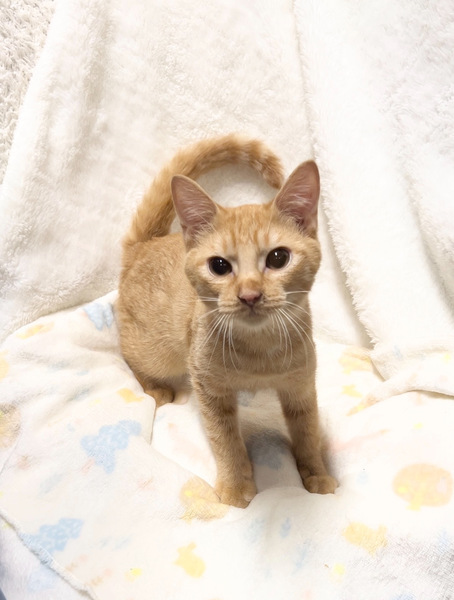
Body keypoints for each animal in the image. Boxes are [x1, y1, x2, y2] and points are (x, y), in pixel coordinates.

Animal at [117, 134, 338, 508]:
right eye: (219, 265)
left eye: (278, 258)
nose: (249, 295)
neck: (258, 350)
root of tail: (144, 245)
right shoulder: (209, 388)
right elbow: (225, 440)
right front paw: (235, 486)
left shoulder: (301, 384)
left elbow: (307, 430)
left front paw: (317, 474)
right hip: (157, 351)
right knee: (129, 355)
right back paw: (155, 388)